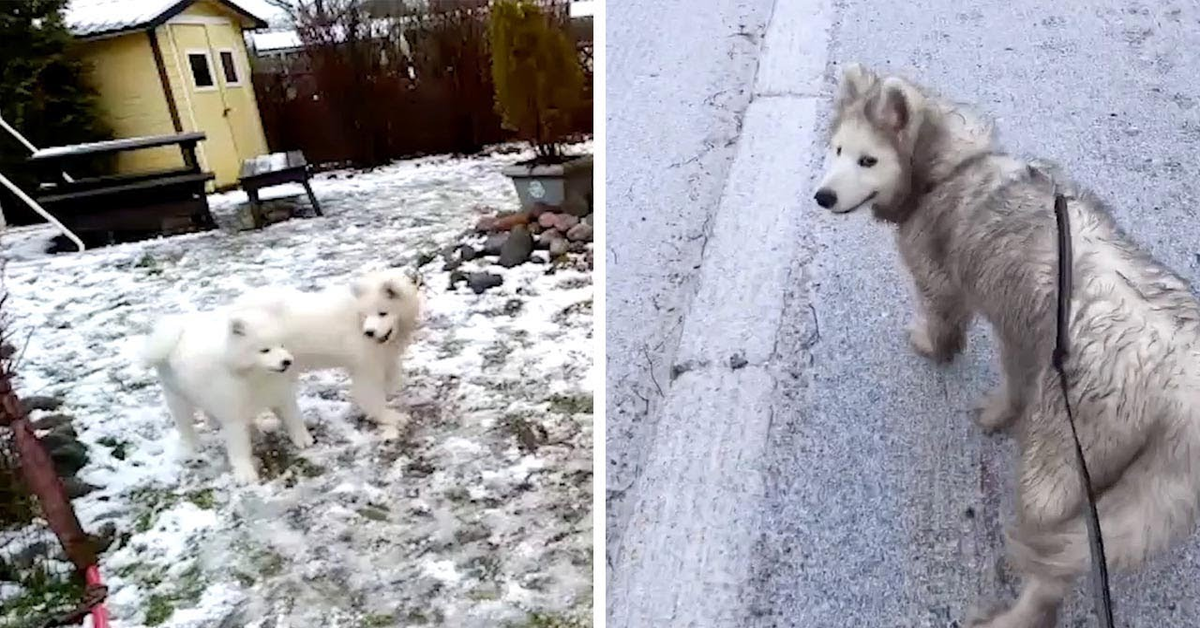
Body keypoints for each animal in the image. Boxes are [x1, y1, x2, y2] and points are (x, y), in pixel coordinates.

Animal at [142, 307, 312, 485]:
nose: (287, 361)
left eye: (282, 345)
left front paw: (303, 439)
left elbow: (294, 419)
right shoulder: (233, 416)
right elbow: (239, 448)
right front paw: (244, 473)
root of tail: (176, 330)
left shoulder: (281, 397)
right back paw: (193, 445)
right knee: (184, 425)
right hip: (177, 397)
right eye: (265, 350)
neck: (256, 377)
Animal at [232, 266, 422, 437]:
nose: (369, 332)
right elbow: (372, 393)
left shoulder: (385, 355)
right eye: (365, 315)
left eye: (382, 313)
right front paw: (390, 417)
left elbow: (392, 376)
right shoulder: (365, 363)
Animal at [816, 62, 1200, 624]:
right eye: (837, 151)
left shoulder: (943, 285)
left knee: (1050, 575)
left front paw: (931, 345)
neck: (949, 168)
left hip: (1057, 461)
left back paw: (1018, 614)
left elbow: (942, 324)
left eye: (868, 159)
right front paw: (1002, 413)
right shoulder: (1020, 330)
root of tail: (1182, 386)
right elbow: (1017, 380)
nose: (821, 196)